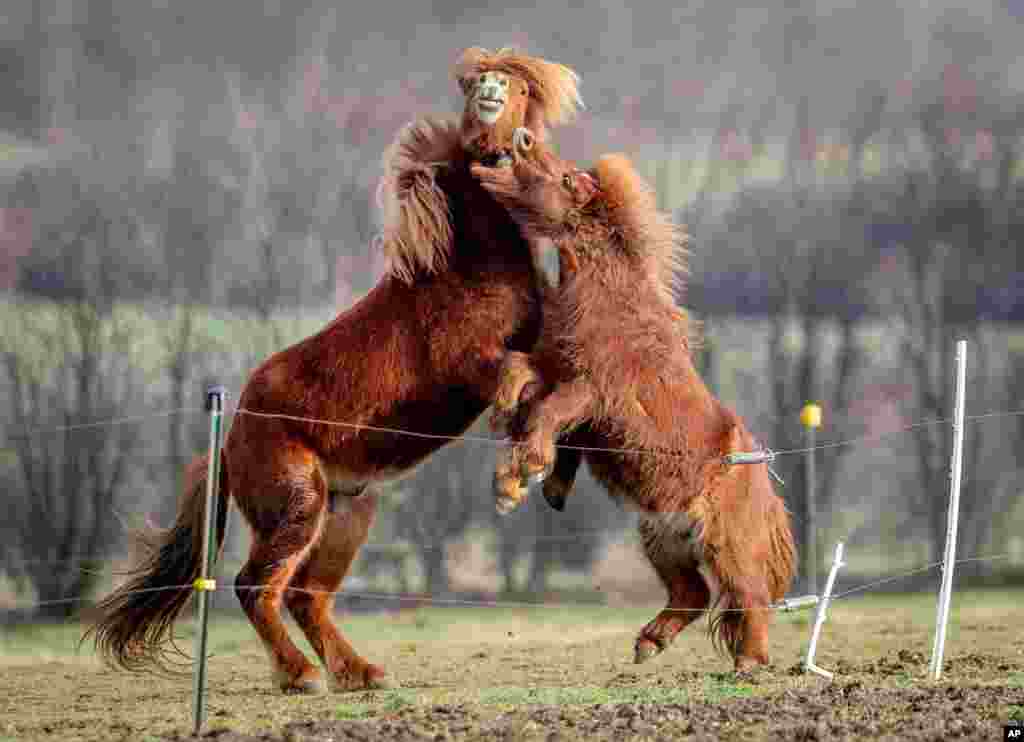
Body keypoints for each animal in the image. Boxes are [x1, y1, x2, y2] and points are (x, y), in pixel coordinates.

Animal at [85, 48, 583, 694]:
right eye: (475, 86)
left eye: (520, 89)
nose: (492, 92)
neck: (469, 262)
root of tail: (232, 437)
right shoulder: (470, 364)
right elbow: (523, 379)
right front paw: (517, 471)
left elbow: (556, 385)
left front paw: (535, 468)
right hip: (299, 505)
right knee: (256, 586)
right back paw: (301, 676)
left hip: (347, 513)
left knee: (307, 596)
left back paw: (361, 672)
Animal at [472, 150, 797, 672]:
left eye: (565, 177)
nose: (516, 144)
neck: (604, 296)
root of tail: (760, 473)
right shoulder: (554, 368)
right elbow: (517, 372)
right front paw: (511, 441)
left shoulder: (592, 391)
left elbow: (550, 415)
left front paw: (522, 476)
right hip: (663, 537)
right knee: (693, 593)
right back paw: (648, 643)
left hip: (726, 544)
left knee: (750, 595)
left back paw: (748, 661)